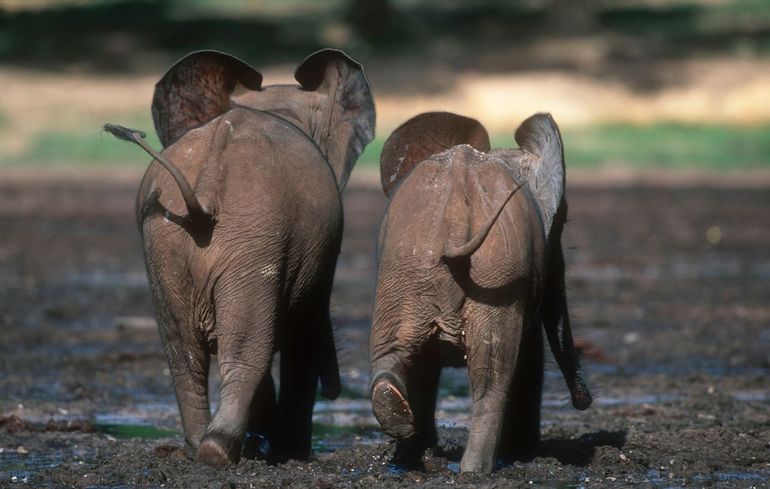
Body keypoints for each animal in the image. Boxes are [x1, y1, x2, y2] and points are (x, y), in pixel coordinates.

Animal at [105, 49, 376, 466]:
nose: (336, 389)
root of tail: (207, 185)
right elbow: (303, 333)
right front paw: (289, 451)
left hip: (168, 241)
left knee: (185, 355)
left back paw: (200, 447)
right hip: (252, 237)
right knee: (248, 351)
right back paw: (220, 450)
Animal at [368, 111, 592, 472]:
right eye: (561, 224)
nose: (583, 401)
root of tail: (456, 214)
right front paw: (523, 453)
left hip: (406, 273)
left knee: (394, 355)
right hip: (492, 275)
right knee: (492, 381)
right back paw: (476, 471)